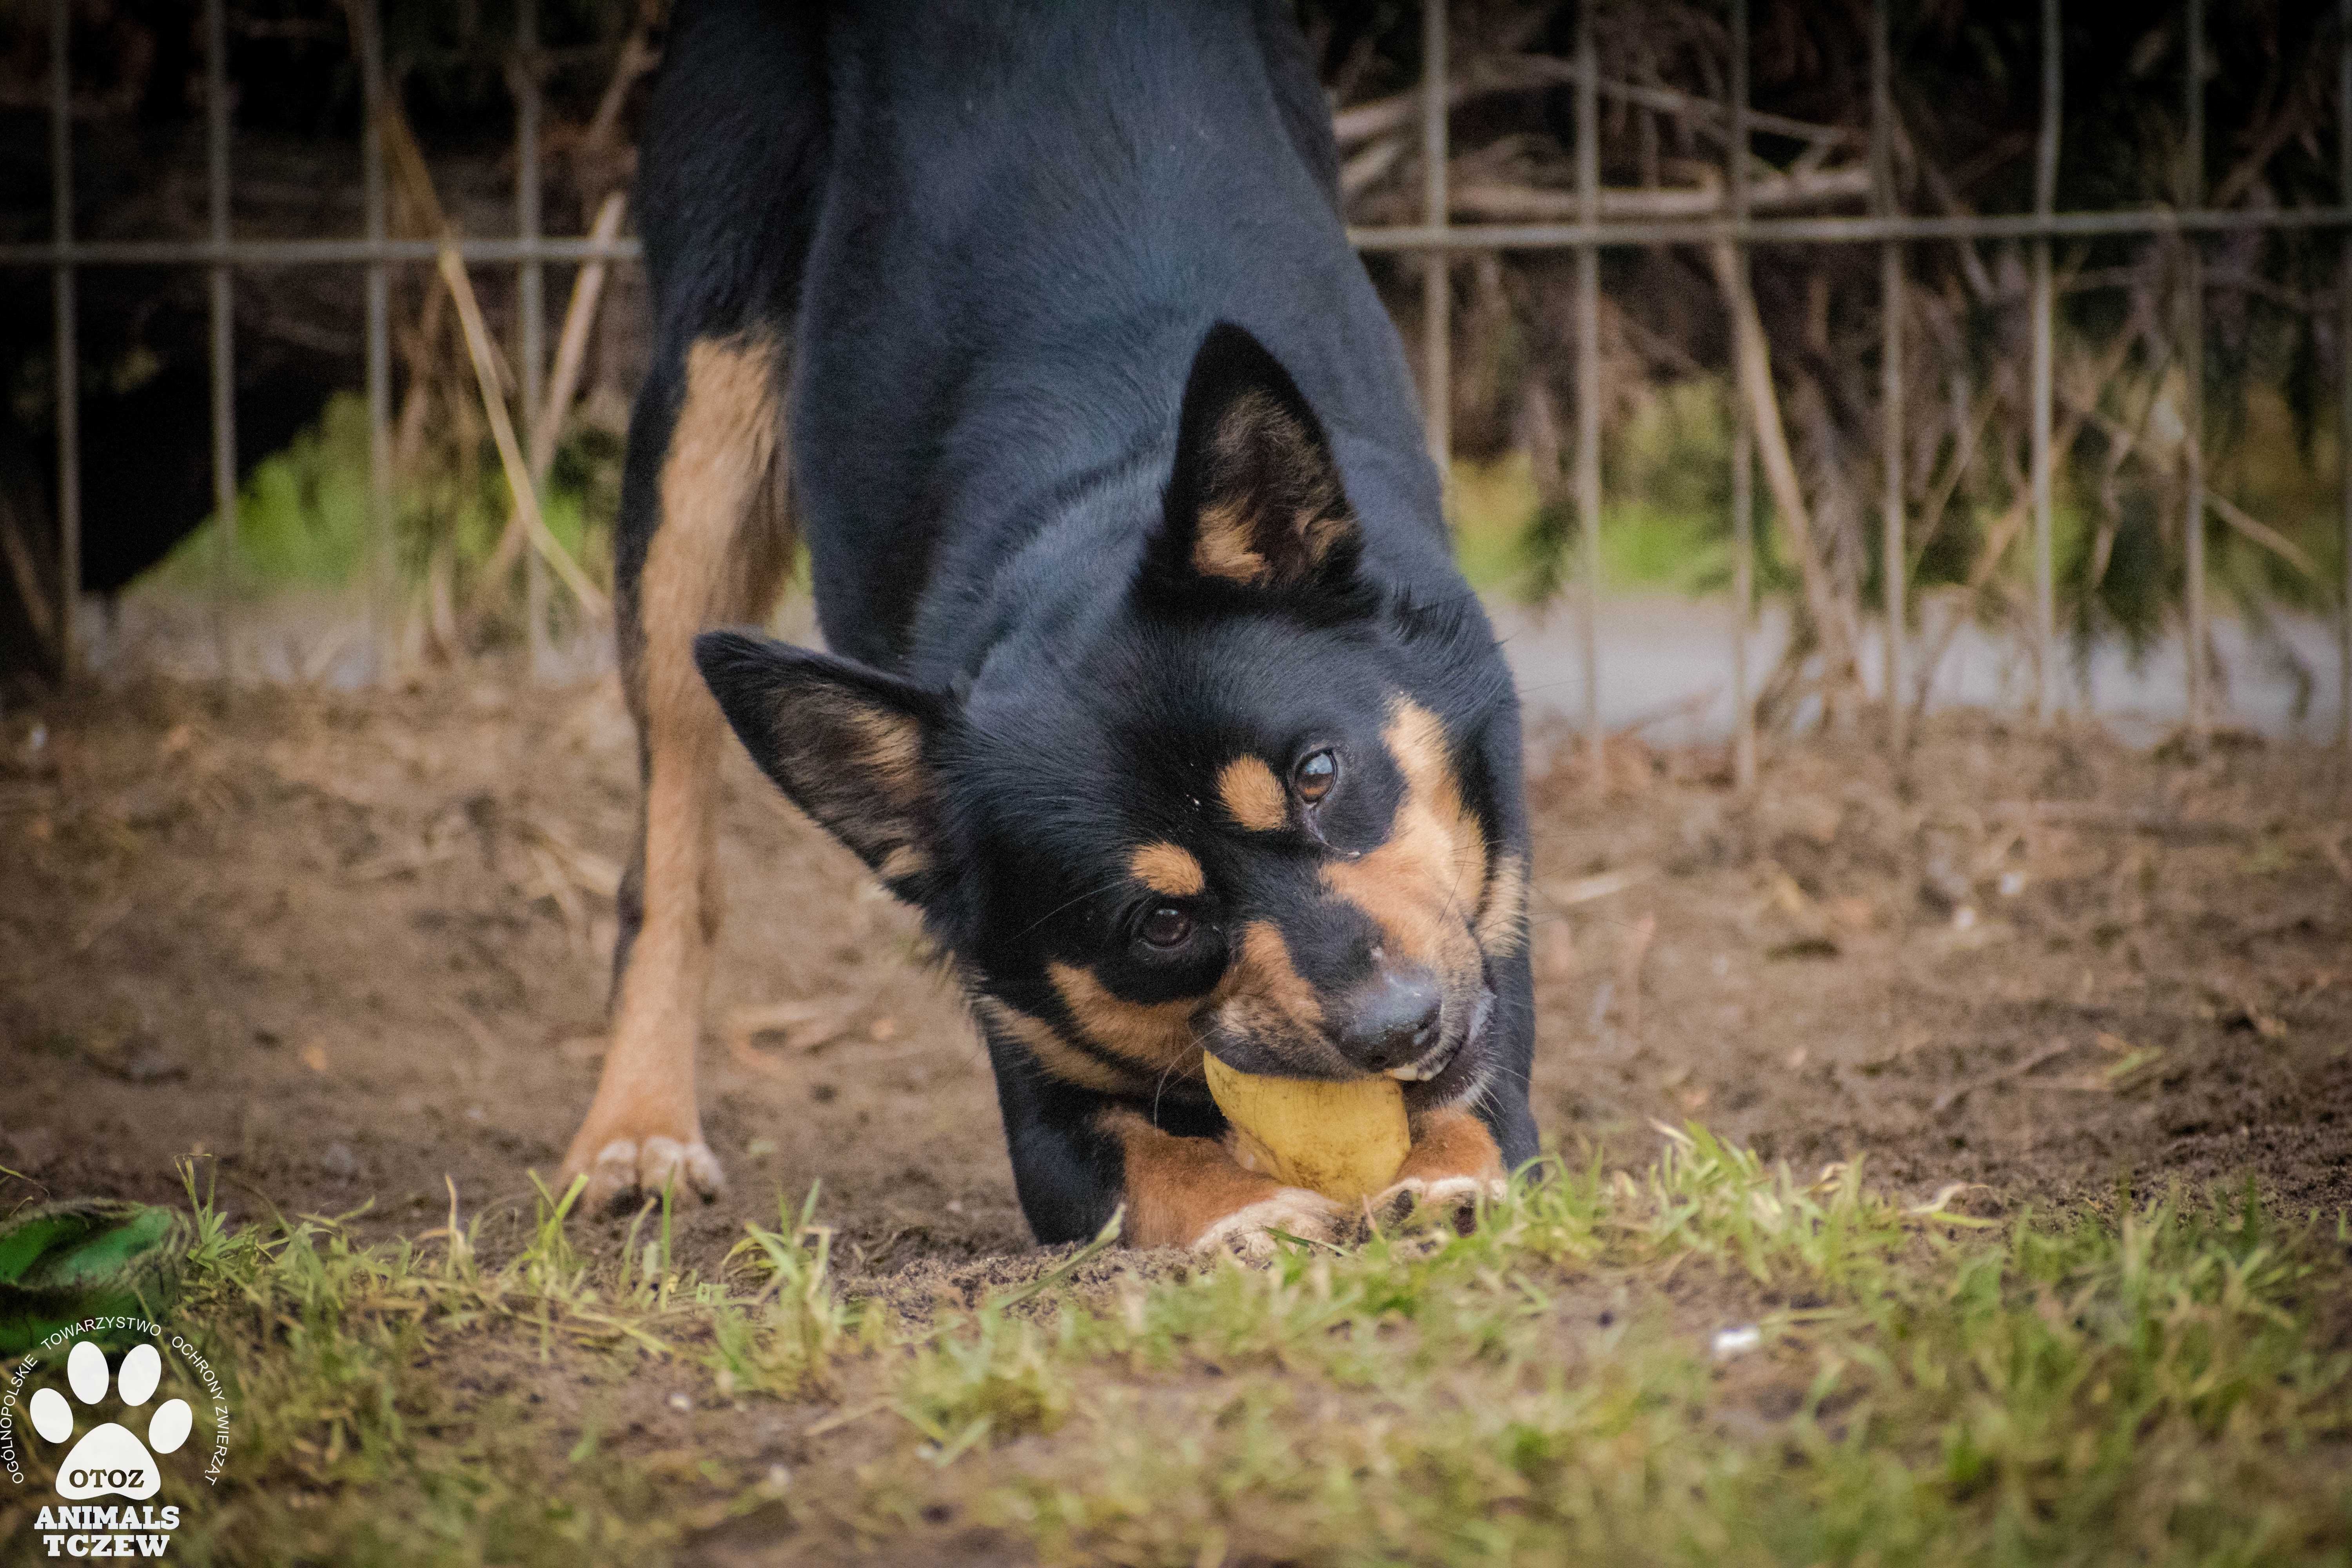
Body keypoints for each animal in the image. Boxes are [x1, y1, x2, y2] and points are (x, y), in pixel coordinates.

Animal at [557, 0, 1534, 1250]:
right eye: (1159, 925)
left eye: (1319, 776)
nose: (1398, 1030)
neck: (1097, 499)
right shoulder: (1039, 1092)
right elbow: (1147, 1155)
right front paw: (1248, 1216)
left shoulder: (1489, 949)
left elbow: (1482, 1108)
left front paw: (1447, 1176)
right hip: (703, 428)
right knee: (671, 834)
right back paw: (637, 1123)